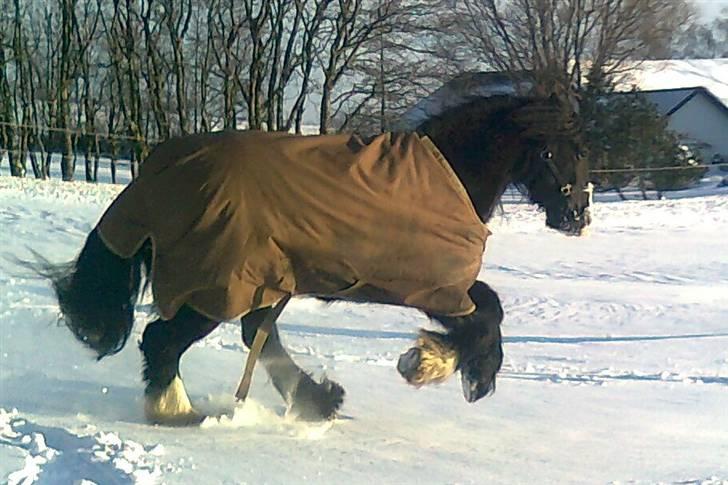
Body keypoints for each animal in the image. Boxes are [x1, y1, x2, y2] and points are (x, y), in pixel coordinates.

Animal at [37, 74, 592, 424]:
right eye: (561, 150)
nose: (578, 217)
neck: (449, 172)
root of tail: (155, 176)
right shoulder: (433, 285)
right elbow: (488, 316)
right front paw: (440, 367)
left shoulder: (433, 285)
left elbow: (488, 312)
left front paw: (433, 363)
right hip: (219, 286)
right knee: (163, 340)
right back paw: (178, 413)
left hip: (262, 282)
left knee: (252, 337)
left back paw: (315, 400)